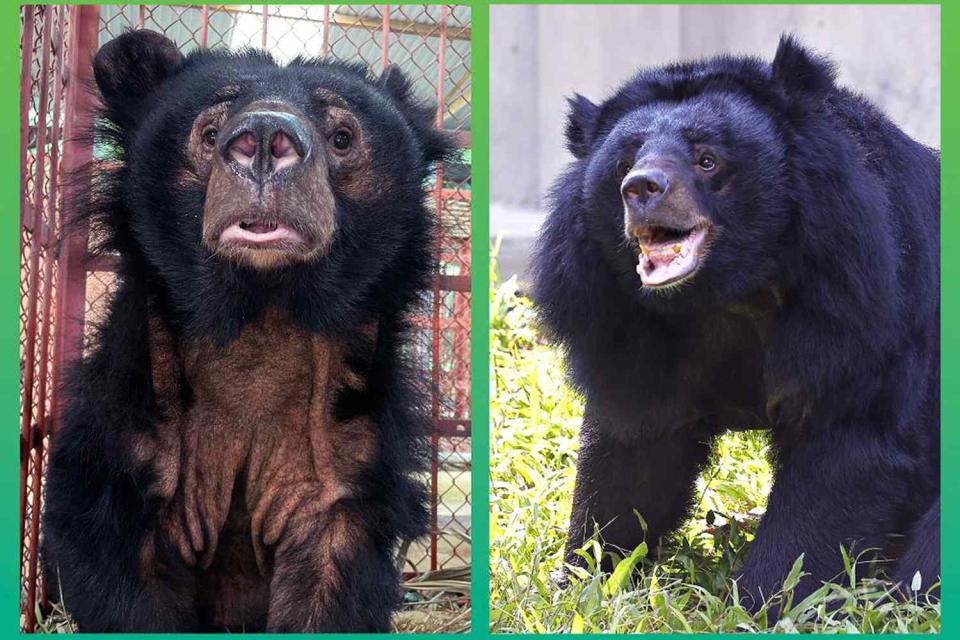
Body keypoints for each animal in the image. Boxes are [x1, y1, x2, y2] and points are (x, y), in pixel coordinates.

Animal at [39, 30, 452, 632]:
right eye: (210, 133)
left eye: (343, 137)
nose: (261, 140)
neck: (262, 316)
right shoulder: (133, 440)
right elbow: (120, 575)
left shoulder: (344, 462)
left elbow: (332, 583)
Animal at [532, 37, 936, 608]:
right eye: (623, 164)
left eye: (708, 160)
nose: (641, 188)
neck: (735, 291)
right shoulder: (624, 323)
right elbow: (632, 455)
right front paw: (585, 583)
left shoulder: (863, 309)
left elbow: (847, 450)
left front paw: (759, 602)